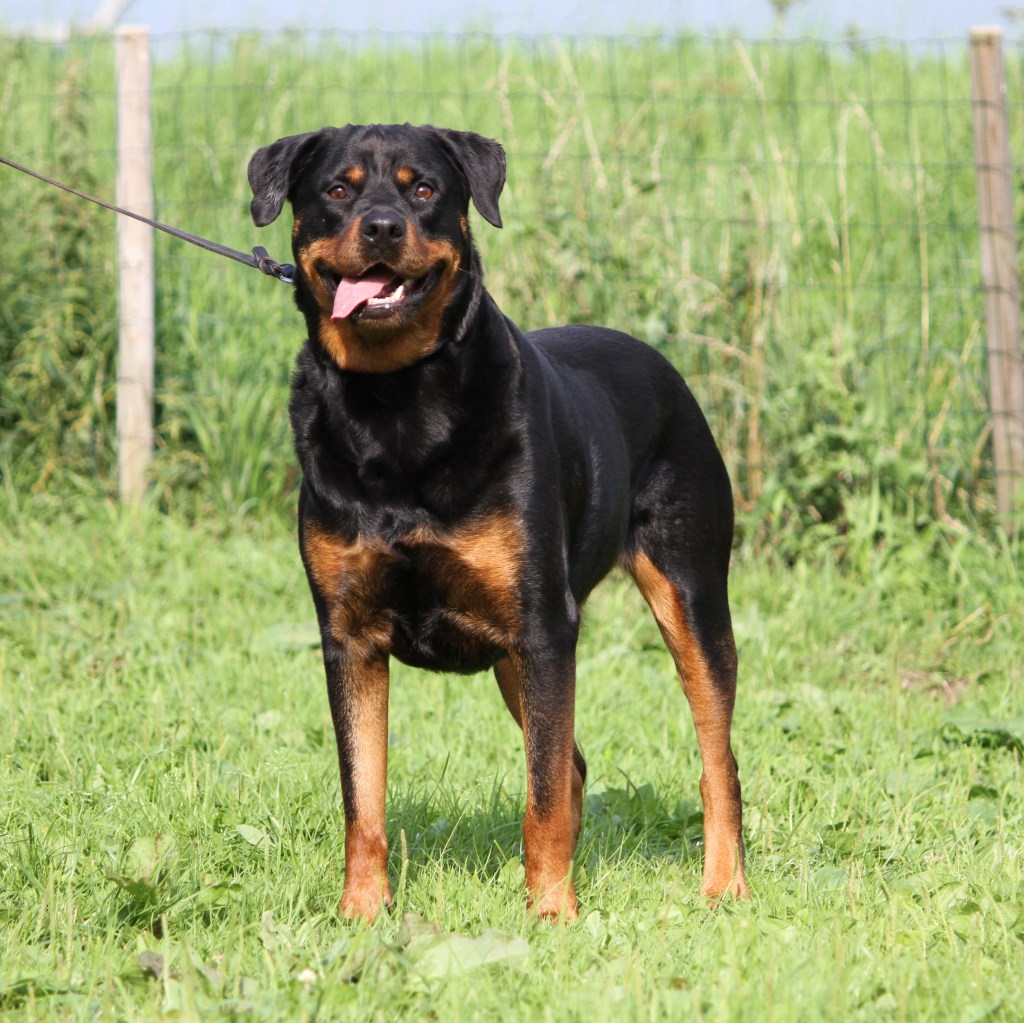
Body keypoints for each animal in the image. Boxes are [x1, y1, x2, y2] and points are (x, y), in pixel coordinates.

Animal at [247, 123, 750, 921]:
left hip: (688, 595)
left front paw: (551, 913)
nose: (382, 226)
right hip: (518, 655)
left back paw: (724, 882)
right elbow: (364, 796)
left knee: (715, 755)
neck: (395, 406)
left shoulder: (544, 625)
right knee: (574, 762)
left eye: (424, 188)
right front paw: (361, 911)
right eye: (337, 189)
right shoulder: (349, 639)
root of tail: (666, 367)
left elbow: (538, 795)